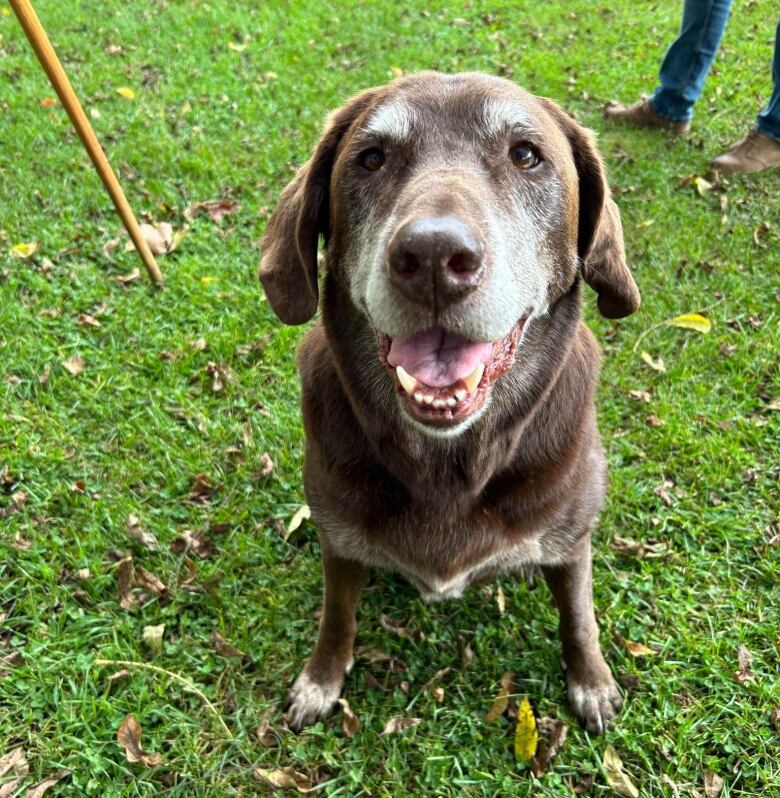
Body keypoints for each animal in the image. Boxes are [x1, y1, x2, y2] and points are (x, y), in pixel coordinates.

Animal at [260, 72, 640, 736]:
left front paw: (591, 682)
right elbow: (337, 617)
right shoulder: (339, 540)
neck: (448, 461)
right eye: (372, 157)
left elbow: (579, 615)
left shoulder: (572, 542)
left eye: (525, 155)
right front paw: (320, 680)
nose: (435, 258)